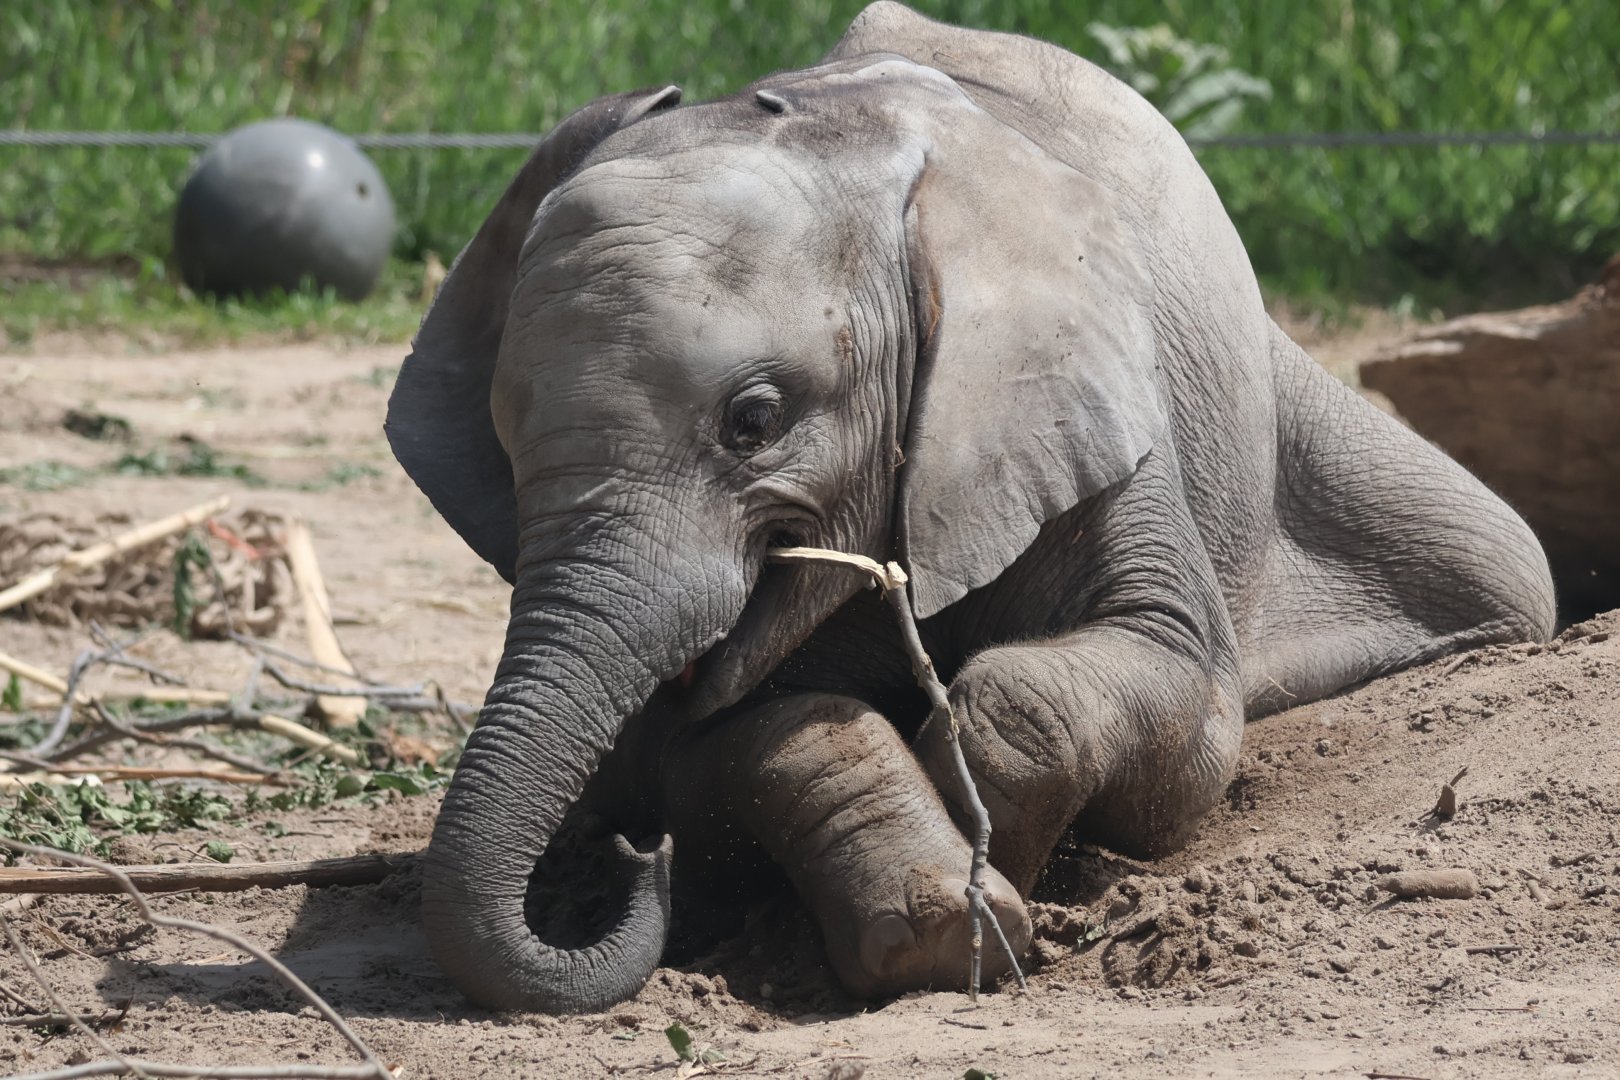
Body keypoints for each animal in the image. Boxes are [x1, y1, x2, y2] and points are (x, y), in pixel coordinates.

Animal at [385, 2, 1555, 1014]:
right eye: (505, 442)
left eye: (753, 420)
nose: (640, 868)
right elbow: (700, 752)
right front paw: (944, 923)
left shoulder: (1088, 398)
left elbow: (1177, 697)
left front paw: (1012, 866)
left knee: (1502, 563)